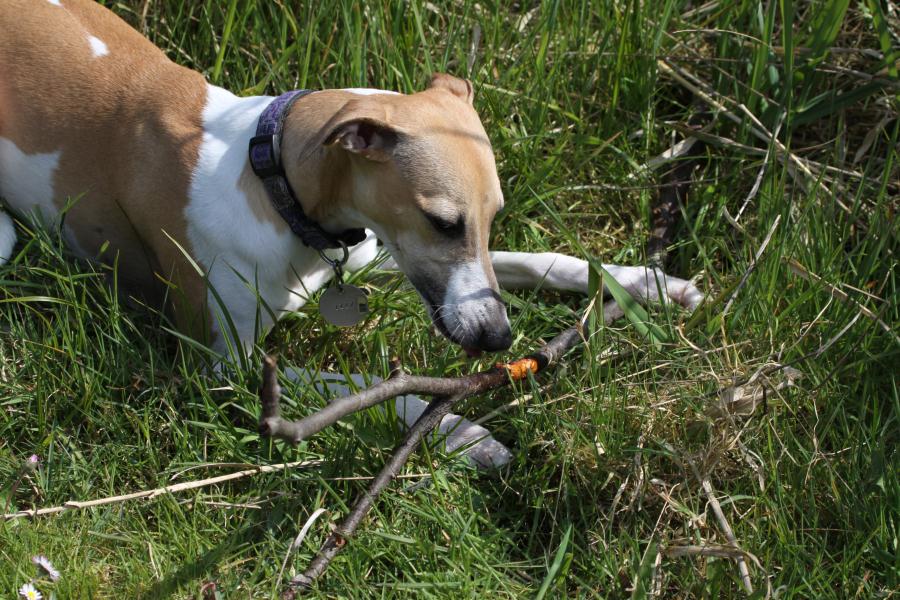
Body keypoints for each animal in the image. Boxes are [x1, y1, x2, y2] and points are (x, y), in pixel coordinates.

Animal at [0, 0, 702, 467]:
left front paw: (649, 283)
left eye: (493, 215)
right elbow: (362, 388)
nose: (498, 338)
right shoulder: (221, 365)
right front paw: (464, 434)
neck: (271, 180)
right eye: (442, 221)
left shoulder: (368, 250)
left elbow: (537, 260)